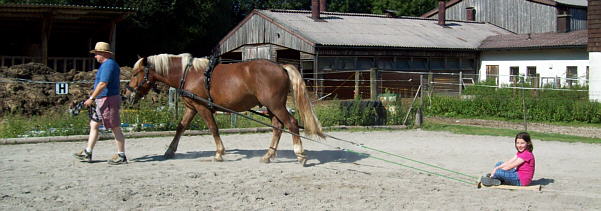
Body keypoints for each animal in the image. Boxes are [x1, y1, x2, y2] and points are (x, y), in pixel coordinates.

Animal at [124, 53, 326, 166]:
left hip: (275, 105)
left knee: (291, 123)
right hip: (271, 107)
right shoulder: (192, 108)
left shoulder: (203, 107)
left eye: (135, 74)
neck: (188, 74)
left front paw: (219, 153)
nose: (127, 95)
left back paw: (300, 154)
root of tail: (281, 67)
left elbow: (213, 128)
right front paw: (170, 151)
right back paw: (268, 155)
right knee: (278, 126)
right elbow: (180, 127)